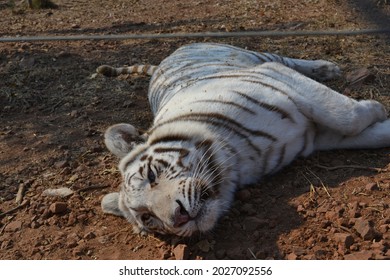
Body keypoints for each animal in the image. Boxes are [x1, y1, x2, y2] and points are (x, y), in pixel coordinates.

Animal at [97, 42, 390, 237]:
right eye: (147, 218)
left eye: (152, 175)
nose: (178, 218)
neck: (237, 159)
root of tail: (166, 59)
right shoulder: (316, 137)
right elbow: (364, 132)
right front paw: (379, 118)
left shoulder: (277, 77)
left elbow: (346, 114)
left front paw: (376, 107)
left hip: (261, 57)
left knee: (289, 60)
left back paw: (329, 68)